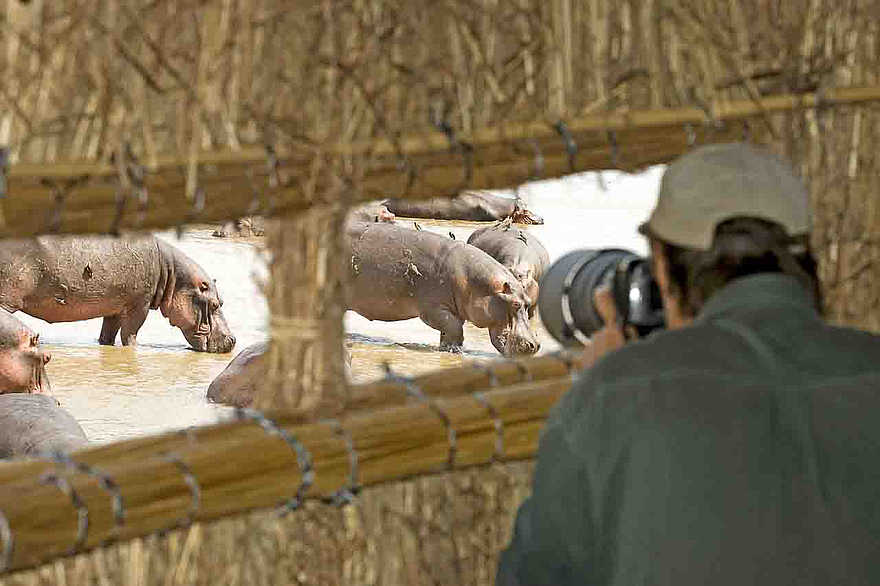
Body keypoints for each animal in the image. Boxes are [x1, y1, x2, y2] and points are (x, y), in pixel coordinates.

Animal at [0, 235, 236, 353]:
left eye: (223, 301)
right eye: (215, 304)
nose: (233, 339)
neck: (173, 276)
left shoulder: (114, 308)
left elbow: (108, 334)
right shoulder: (139, 305)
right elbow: (130, 334)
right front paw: (136, 350)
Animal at [346, 221, 539, 355]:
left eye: (528, 303)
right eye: (515, 304)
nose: (536, 345)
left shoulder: (456, 311)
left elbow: (450, 330)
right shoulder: (434, 309)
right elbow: (454, 329)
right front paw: (454, 351)